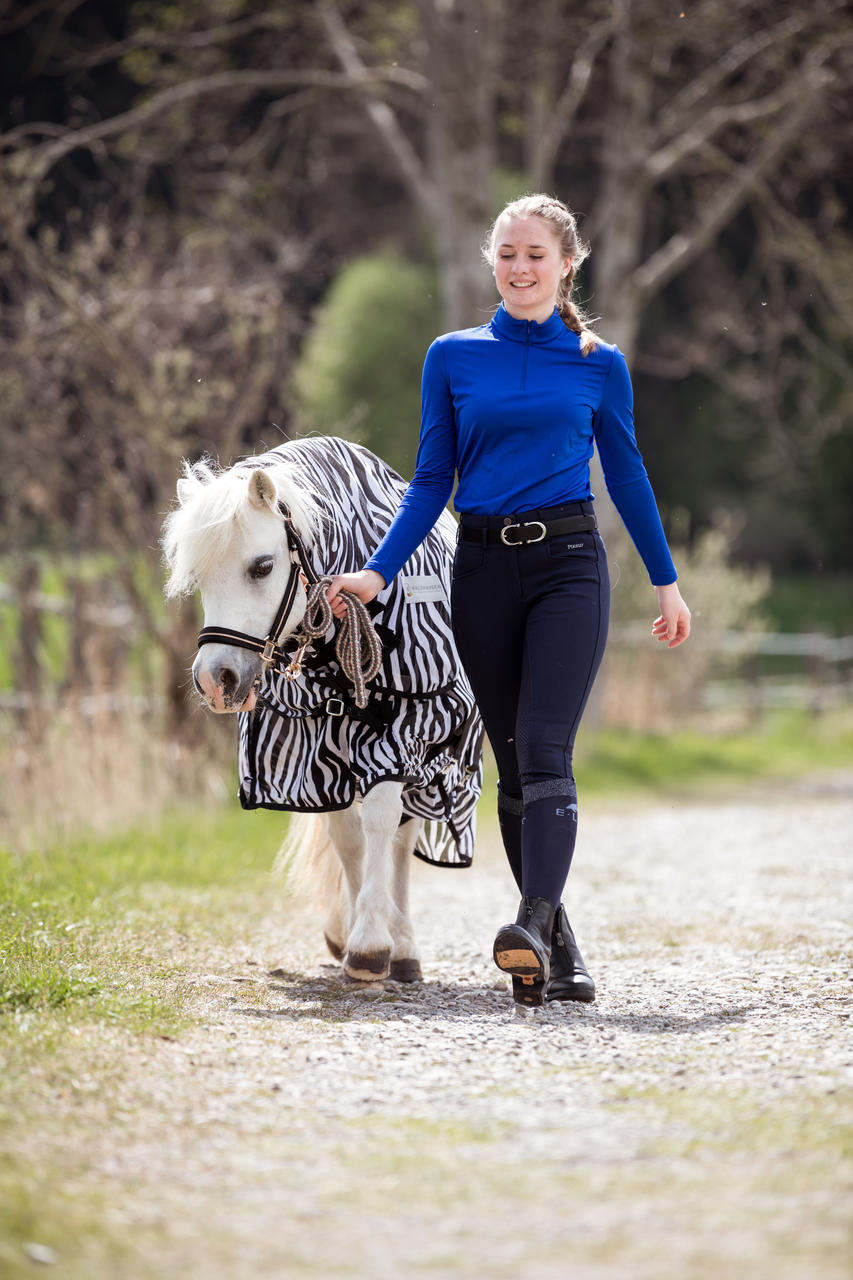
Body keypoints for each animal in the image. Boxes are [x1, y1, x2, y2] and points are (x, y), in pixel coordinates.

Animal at [159, 440, 479, 988]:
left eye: (262, 566)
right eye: (198, 577)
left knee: (401, 840)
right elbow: (348, 840)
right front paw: (356, 934)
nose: (216, 680)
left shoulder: (406, 732)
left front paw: (372, 945)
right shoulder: (317, 753)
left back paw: (404, 946)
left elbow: (380, 824)